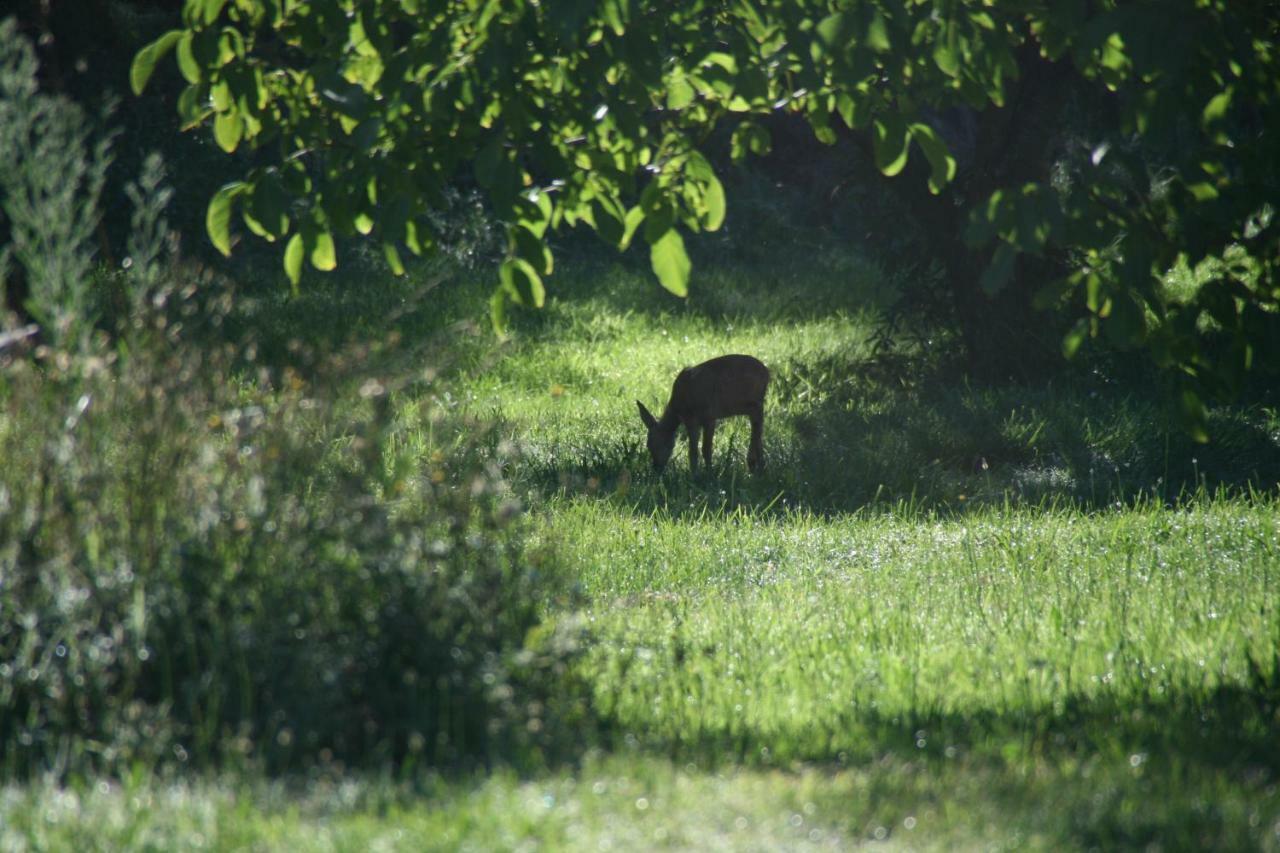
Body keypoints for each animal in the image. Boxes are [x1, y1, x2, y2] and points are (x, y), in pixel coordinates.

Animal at [632, 350, 762, 471]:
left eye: (653, 444)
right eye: (648, 445)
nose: (656, 468)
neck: (677, 408)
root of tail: (765, 372)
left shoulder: (695, 419)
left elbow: (694, 451)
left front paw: (697, 475)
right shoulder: (709, 419)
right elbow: (706, 449)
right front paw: (708, 472)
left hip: (744, 402)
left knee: (757, 418)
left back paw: (753, 463)